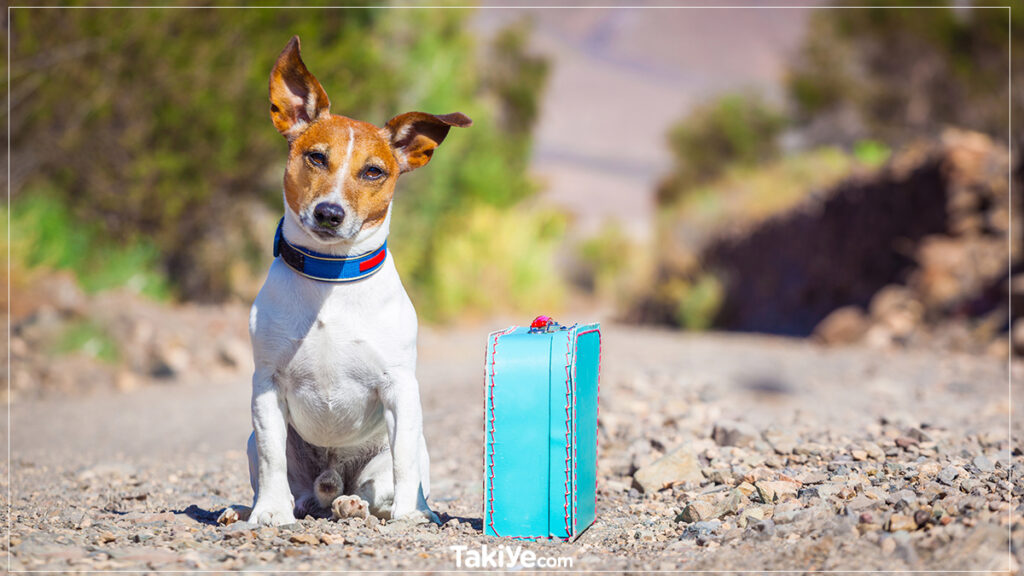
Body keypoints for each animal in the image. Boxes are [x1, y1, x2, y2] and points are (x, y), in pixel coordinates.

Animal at [243, 36, 468, 524]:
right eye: (316, 157)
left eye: (373, 172)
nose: (329, 212)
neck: (331, 277)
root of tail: (331, 482)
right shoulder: (266, 385)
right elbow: (271, 456)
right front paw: (268, 513)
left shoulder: (400, 388)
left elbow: (402, 463)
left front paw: (408, 515)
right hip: (263, 447)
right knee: (297, 490)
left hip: (399, 454)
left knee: (376, 487)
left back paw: (358, 504)